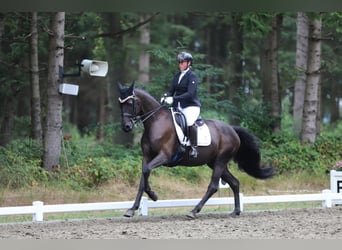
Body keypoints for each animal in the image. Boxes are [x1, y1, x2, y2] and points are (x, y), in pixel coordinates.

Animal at [117, 82, 276, 219]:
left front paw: (153, 195)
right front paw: (132, 209)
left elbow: (146, 172)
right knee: (234, 182)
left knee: (213, 186)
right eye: (120, 104)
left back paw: (193, 211)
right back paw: (235, 211)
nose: (126, 127)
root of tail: (232, 130)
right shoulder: (147, 157)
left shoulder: (164, 156)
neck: (155, 122)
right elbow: (143, 177)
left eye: (130, 103)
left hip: (220, 161)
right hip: (215, 162)